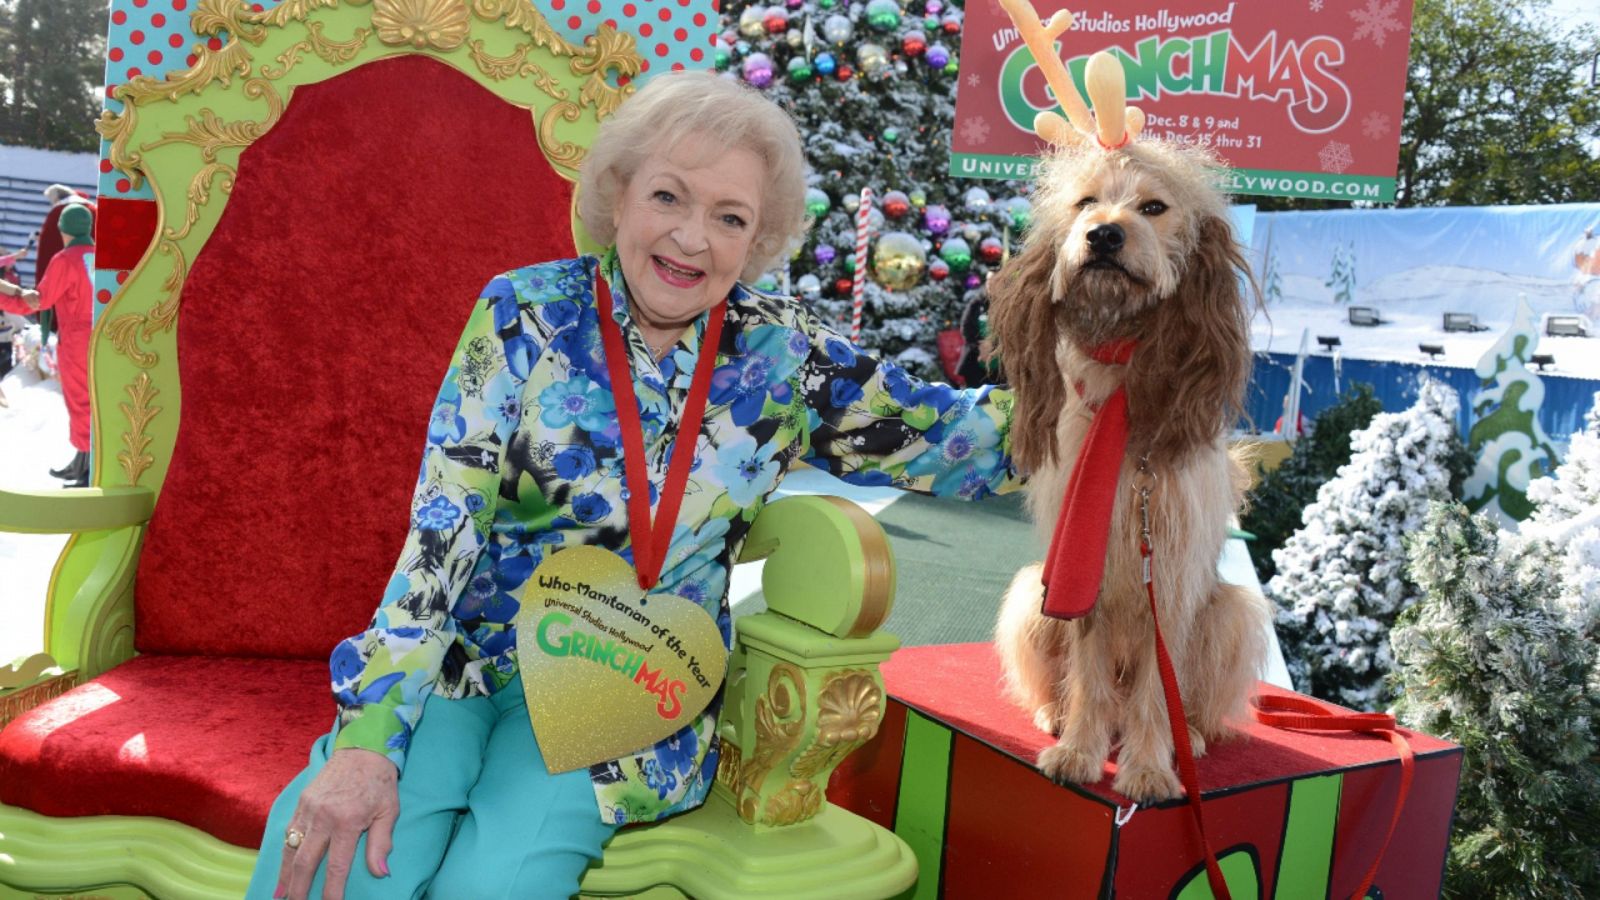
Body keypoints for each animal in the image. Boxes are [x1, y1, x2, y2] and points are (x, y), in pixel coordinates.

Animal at [985, 136, 1273, 800]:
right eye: (1086, 201)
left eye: (1154, 206)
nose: (1104, 236)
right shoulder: (1082, 562)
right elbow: (1088, 673)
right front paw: (1079, 750)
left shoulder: (1166, 575)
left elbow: (1155, 691)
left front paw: (1147, 767)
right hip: (1030, 596)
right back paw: (1057, 713)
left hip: (1232, 614)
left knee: (1189, 700)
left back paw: (1191, 738)